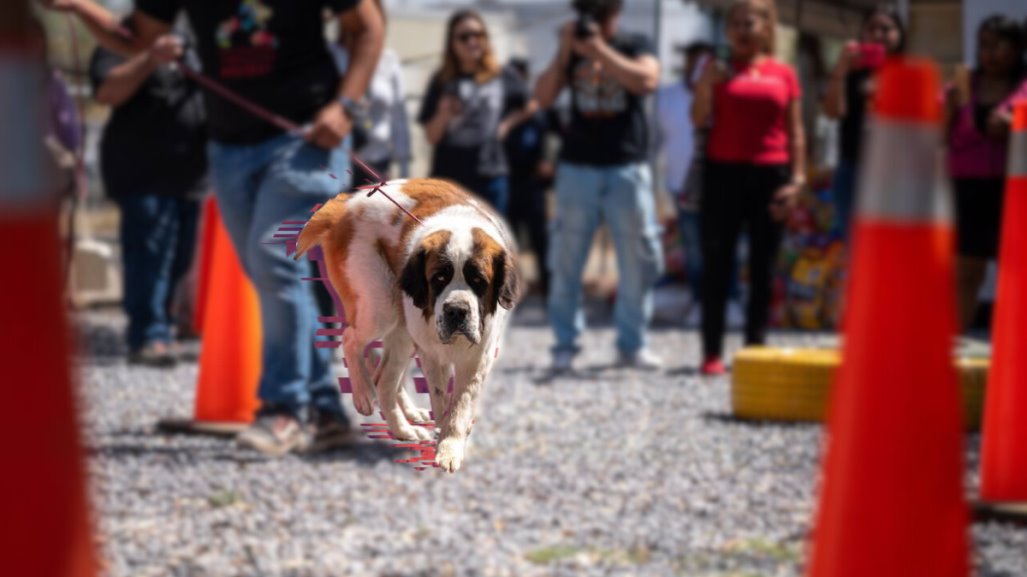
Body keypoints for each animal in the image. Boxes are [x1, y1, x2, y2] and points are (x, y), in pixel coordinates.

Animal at [295, 177, 521, 470]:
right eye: (439, 278)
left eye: (478, 281)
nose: (456, 311)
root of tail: (345, 206)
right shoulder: (432, 353)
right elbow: (441, 396)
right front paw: (444, 437)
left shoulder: (478, 356)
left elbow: (461, 403)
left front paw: (450, 444)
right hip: (381, 306)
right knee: (352, 342)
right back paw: (365, 395)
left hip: (402, 331)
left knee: (386, 376)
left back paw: (405, 425)